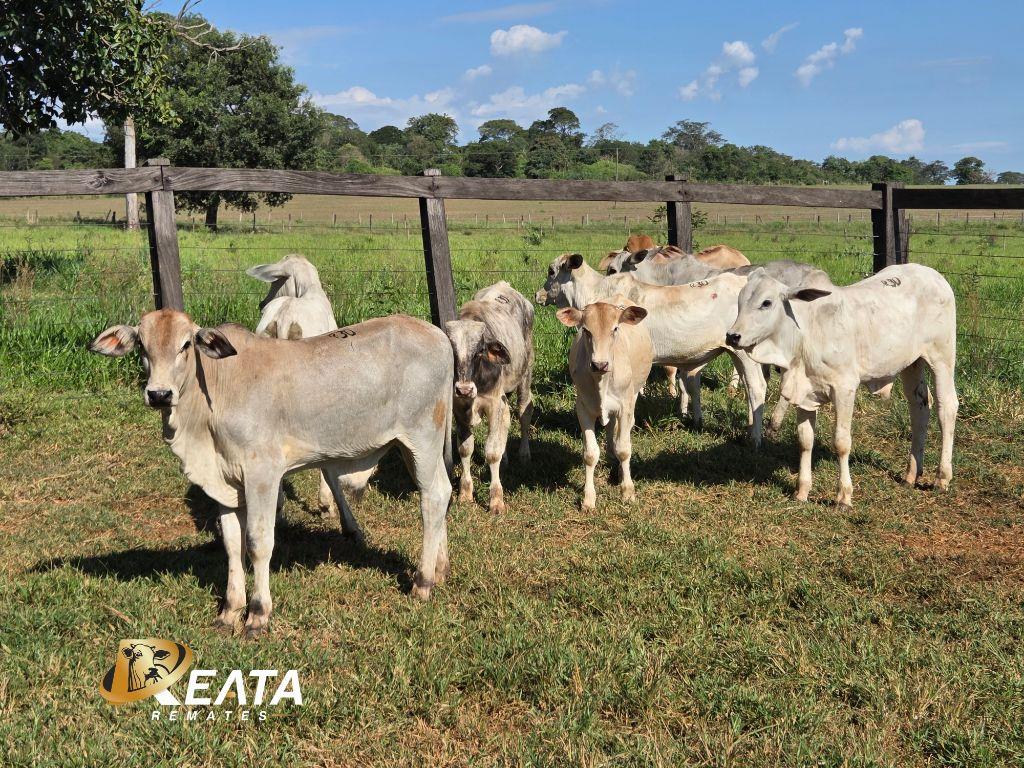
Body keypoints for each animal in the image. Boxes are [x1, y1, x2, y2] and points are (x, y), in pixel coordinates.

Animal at [90, 309, 454, 637]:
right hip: (411, 447)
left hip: (423, 438)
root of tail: (439, 336)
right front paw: (229, 611)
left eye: (185, 344)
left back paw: (423, 580)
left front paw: (257, 614)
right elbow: (232, 544)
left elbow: (258, 542)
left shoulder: (262, 474)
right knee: (440, 494)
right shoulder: (227, 482)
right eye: (142, 345)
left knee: (433, 497)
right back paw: (440, 568)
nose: (159, 394)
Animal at [445, 281, 535, 513]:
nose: (464, 389)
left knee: (523, 413)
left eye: (479, 351)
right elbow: (465, 449)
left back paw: (524, 454)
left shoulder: (495, 403)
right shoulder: (459, 409)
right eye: (452, 352)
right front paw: (465, 493)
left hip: (525, 375)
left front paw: (496, 500)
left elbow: (492, 452)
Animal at [557, 299, 653, 511]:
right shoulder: (583, 408)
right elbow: (590, 454)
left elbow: (624, 449)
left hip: (633, 395)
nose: (600, 364)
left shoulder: (625, 406)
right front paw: (588, 498)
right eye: (586, 330)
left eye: (615, 329)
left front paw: (627, 491)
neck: (602, 380)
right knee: (610, 429)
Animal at [725, 263, 958, 507]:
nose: (732, 336)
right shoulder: (805, 394)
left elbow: (841, 442)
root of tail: (932, 274)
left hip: (942, 357)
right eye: (740, 301)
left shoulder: (845, 389)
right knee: (919, 407)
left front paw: (844, 495)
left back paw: (942, 477)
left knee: (946, 407)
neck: (805, 334)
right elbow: (805, 440)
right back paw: (911, 474)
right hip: (912, 363)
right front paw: (802, 491)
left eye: (766, 303)